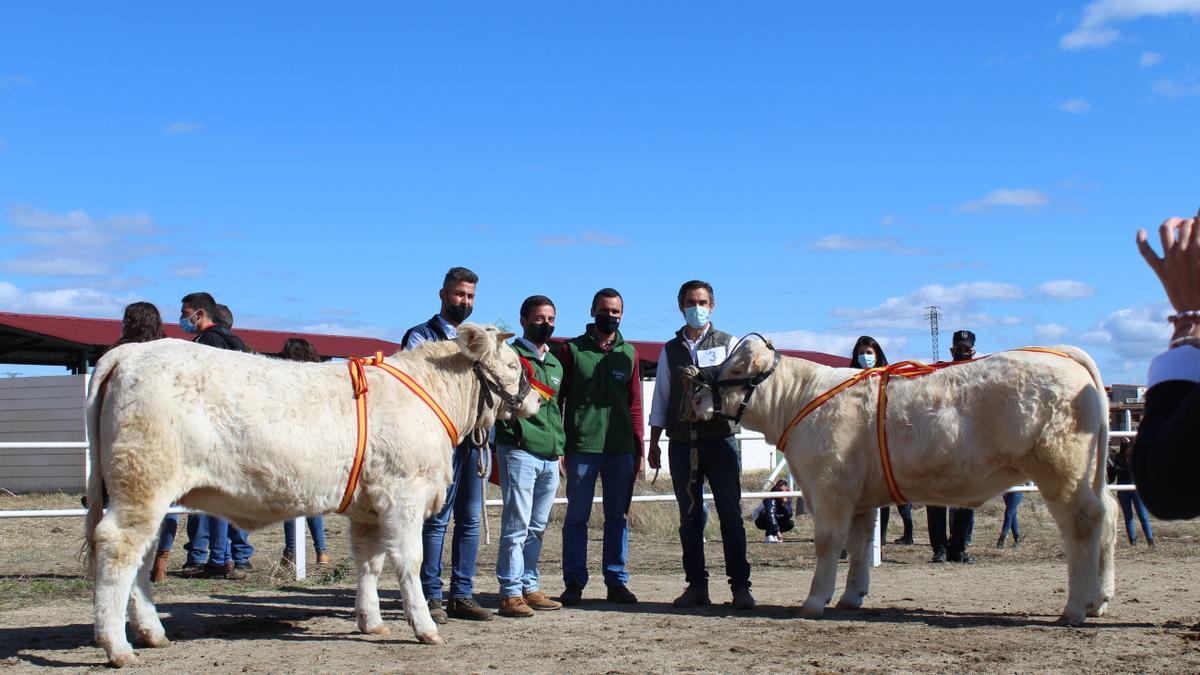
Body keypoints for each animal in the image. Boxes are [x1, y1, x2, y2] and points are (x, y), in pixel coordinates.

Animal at [81, 324, 540, 662]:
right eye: (513, 365)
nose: (536, 400)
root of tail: (131, 353)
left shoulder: (369, 507)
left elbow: (369, 563)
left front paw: (371, 621)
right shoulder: (404, 493)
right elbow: (409, 561)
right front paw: (425, 627)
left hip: (147, 495)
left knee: (140, 558)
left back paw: (152, 633)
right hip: (142, 483)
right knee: (118, 547)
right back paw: (116, 646)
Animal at [686, 338, 1113, 624]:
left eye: (736, 370)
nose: (695, 396)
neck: (800, 398)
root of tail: (1060, 353)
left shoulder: (829, 489)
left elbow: (829, 544)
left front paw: (814, 601)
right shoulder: (859, 498)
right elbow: (860, 545)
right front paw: (851, 597)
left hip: (1060, 471)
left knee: (1083, 525)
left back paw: (1075, 608)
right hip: (1090, 474)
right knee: (1107, 518)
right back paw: (1099, 599)